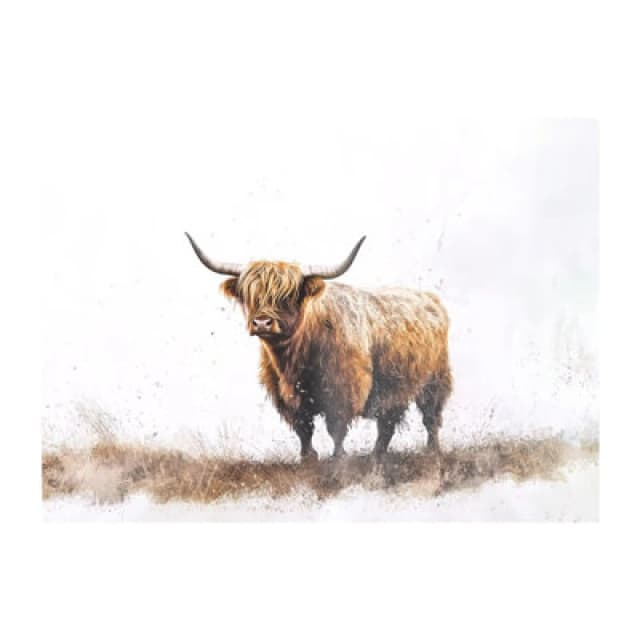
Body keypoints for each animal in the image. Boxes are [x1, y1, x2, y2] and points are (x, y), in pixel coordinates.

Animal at [186, 233, 452, 462]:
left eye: (287, 296)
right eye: (251, 295)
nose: (262, 323)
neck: (294, 360)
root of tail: (429, 299)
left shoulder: (342, 388)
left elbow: (336, 428)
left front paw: (338, 458)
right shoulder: (289, 397)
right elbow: (304, 428)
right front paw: (307, 457)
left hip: (435, 380)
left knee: (430, 418)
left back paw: (431, 452)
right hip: (394, 386)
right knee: (387, 423)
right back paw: (377, 456)